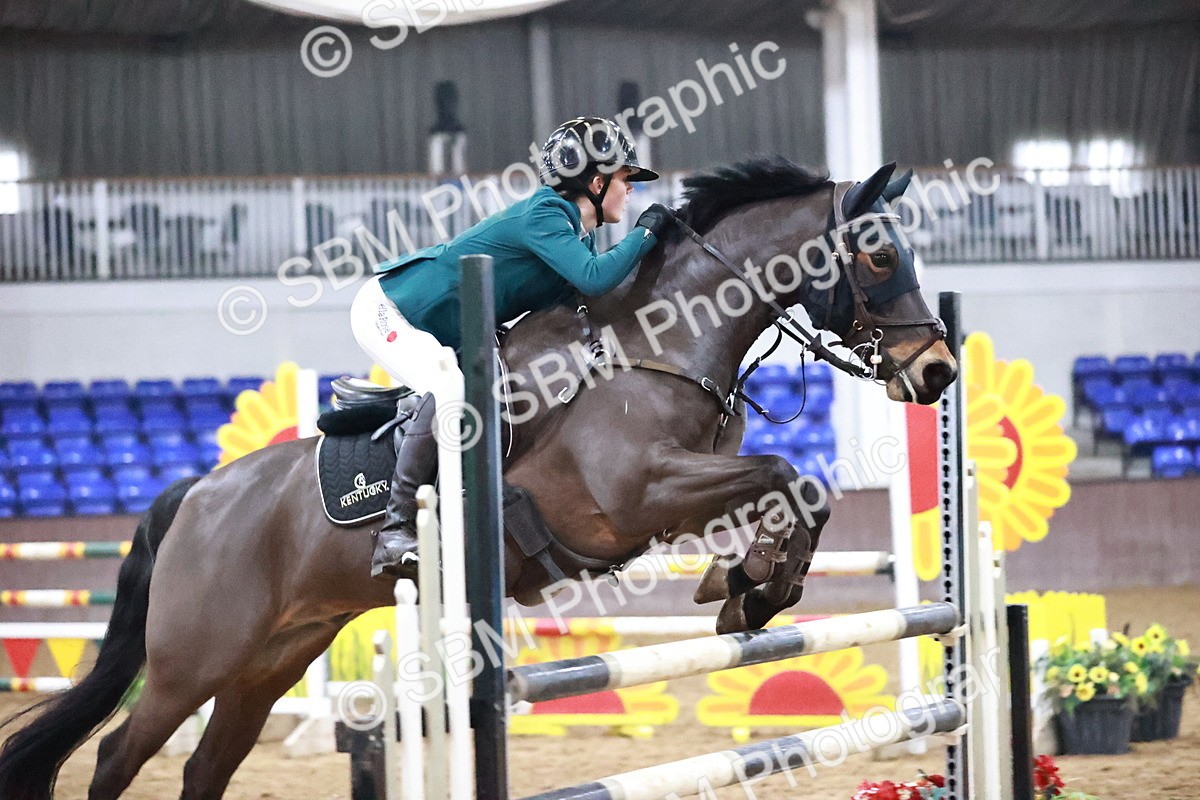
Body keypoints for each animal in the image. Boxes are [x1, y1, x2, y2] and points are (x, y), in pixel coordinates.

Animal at [0, 157, 957, 800]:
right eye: (878, 258)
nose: (940, 371)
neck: (656, 340)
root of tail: (195, 494)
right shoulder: (633, 496)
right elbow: (787, 472)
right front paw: (754, 588)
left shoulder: (684, 489)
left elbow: (793, 489)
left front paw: (749, 586)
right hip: (191, 662)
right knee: (118, 756)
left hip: (266, 663)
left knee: (204, 765)